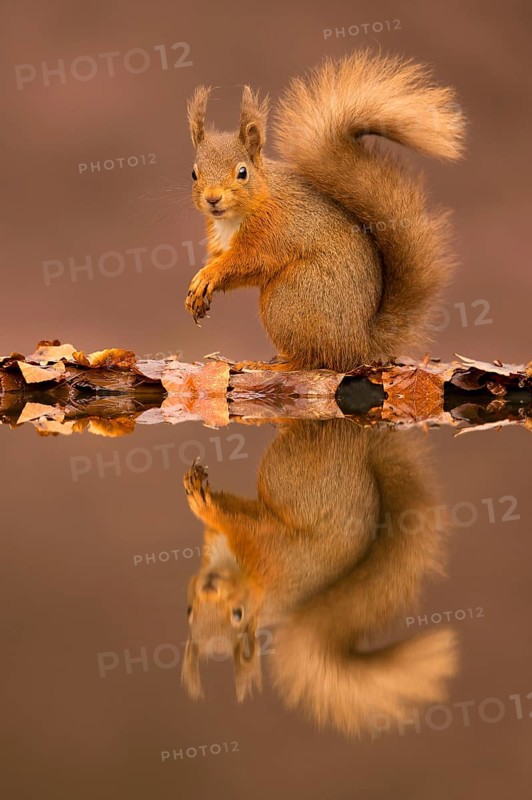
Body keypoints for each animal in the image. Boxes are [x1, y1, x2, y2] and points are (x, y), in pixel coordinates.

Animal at [181, 420, 458, 737]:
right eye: (188, 611)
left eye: (238, 614)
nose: (209, 587)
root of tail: (360, 450)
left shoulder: (272, 550)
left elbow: (243, 522)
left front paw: (204, 504)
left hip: (291, 471)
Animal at [184, 50, 466, 372]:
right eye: (194, 173)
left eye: (242, 173)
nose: (212, 199)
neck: (235, 217)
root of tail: (359, 344)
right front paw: (198, 288)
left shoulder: (273, 230)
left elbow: (249, 261)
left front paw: (209, 275)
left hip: (289, 296)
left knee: (313, 359)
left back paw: (273, 365)